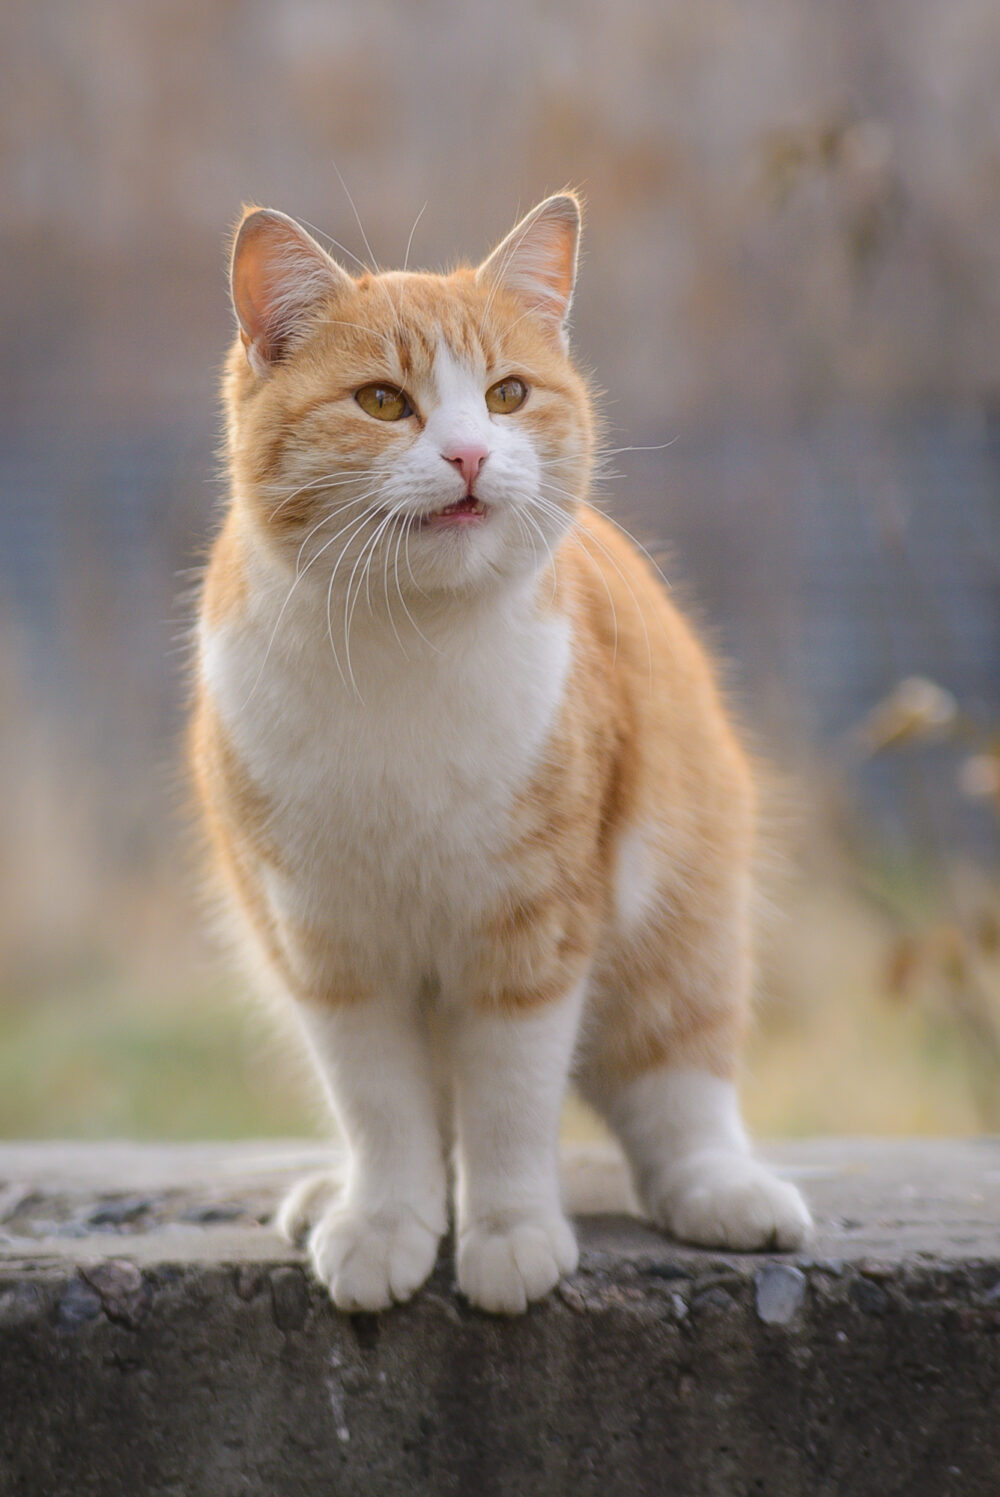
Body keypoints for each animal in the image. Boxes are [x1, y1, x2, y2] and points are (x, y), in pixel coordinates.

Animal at [189, 193, 814, 1317]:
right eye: (383, 401)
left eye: (507, 394)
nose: (472, 456)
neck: (407, 646)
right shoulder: (327, 943)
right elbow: (380, 1107)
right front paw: (384, 1222)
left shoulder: (534, 926)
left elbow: (512, 1103)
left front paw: (513, 1232)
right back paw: (337, 1194)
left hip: (684, 925)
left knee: (677, 1091)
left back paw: (723, 1192)